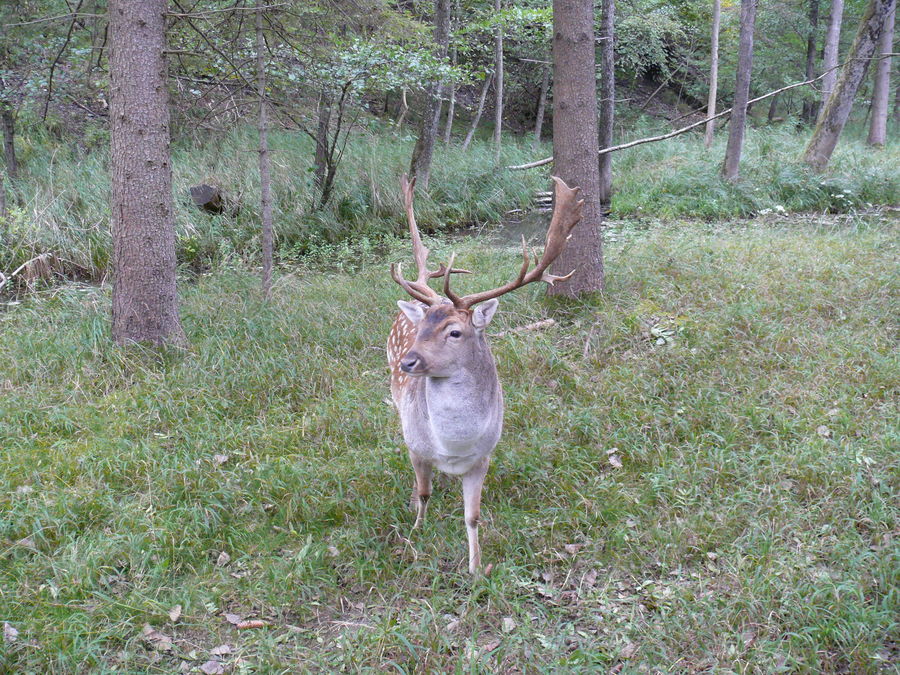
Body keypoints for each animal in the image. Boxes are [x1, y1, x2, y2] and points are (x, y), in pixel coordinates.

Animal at [384, 174, 584, 576]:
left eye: (455, 332)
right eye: (422, 329)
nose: (408, 362)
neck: (452, 446)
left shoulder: (483, 458)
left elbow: (473, 516)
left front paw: (477, 568)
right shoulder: (417, 447)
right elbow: (424, 492)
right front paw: (416, 531)